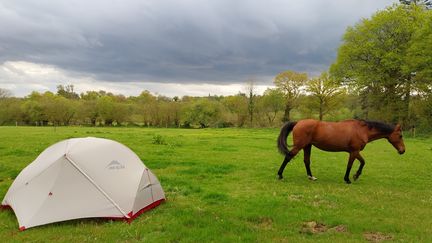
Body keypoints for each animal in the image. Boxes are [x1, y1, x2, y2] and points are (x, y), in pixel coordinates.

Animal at [276, 118, 404, 183]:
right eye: (400, 136)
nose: (403, 151)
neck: (362, 130)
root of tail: (298, 122)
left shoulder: (355, 152)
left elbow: (363, 162)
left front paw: (356, 175)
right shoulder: (354, 151)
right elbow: (350, 165)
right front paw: (347, 179)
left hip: (307, 146)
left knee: (306, 161)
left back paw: (311, 177)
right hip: (299, 146)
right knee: (288, 157)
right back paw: (280, 175)